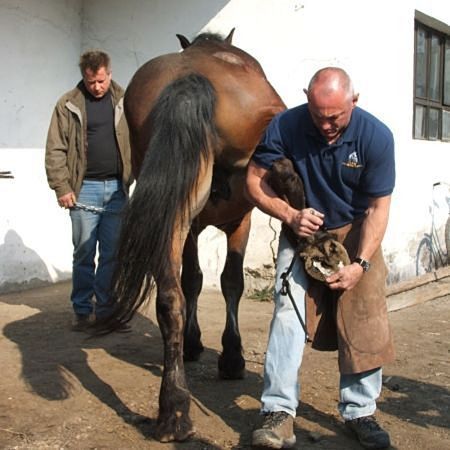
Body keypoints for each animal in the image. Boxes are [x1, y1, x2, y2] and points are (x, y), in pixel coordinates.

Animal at [105, 29, 284, 442]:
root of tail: (190, 76)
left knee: (169, 298)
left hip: (173, 214)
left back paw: (173, 410)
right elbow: (231, 282)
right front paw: (231, 357)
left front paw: (193, 343)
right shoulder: (241, 220)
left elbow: (191, 282)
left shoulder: (188, 227)